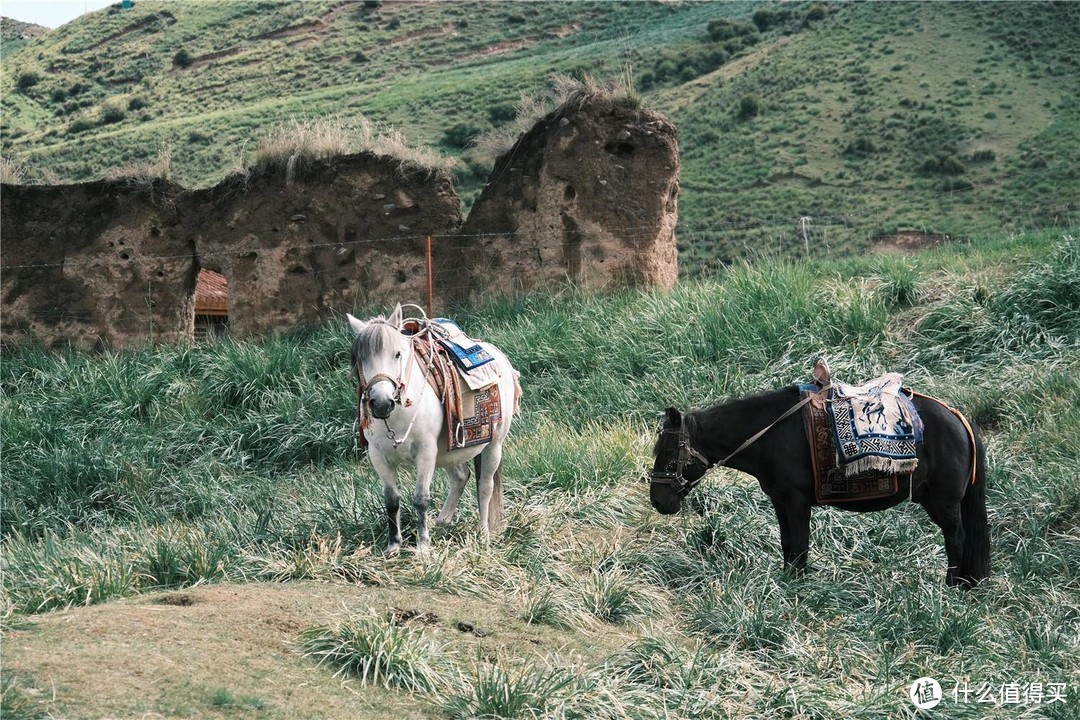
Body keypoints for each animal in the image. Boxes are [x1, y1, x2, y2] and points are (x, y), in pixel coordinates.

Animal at [343, 302, 516, 557]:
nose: (382, 403)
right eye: (359, 358)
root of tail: (500, 357)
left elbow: (421, 498)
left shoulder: (426, 452)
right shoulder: (378, 456)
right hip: (449, 451)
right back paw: (442, 522)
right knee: (461, 476)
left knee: (485, 486)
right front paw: (393, 545)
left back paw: (483, 533)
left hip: (493, 445)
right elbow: (391, 500)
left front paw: (423, 546)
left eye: (397, 354)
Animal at [643, 386, 989, 587]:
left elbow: (799, 546)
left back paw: (952, 586)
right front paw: (789, 580)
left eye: (669, 452)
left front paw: (797, 587)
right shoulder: (781, 502)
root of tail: (958, 418)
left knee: (956, 538)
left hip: (944, 500)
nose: (658, 501)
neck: (770, 434)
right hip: (931, 498)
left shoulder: (797, 502)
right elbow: (788, 545)